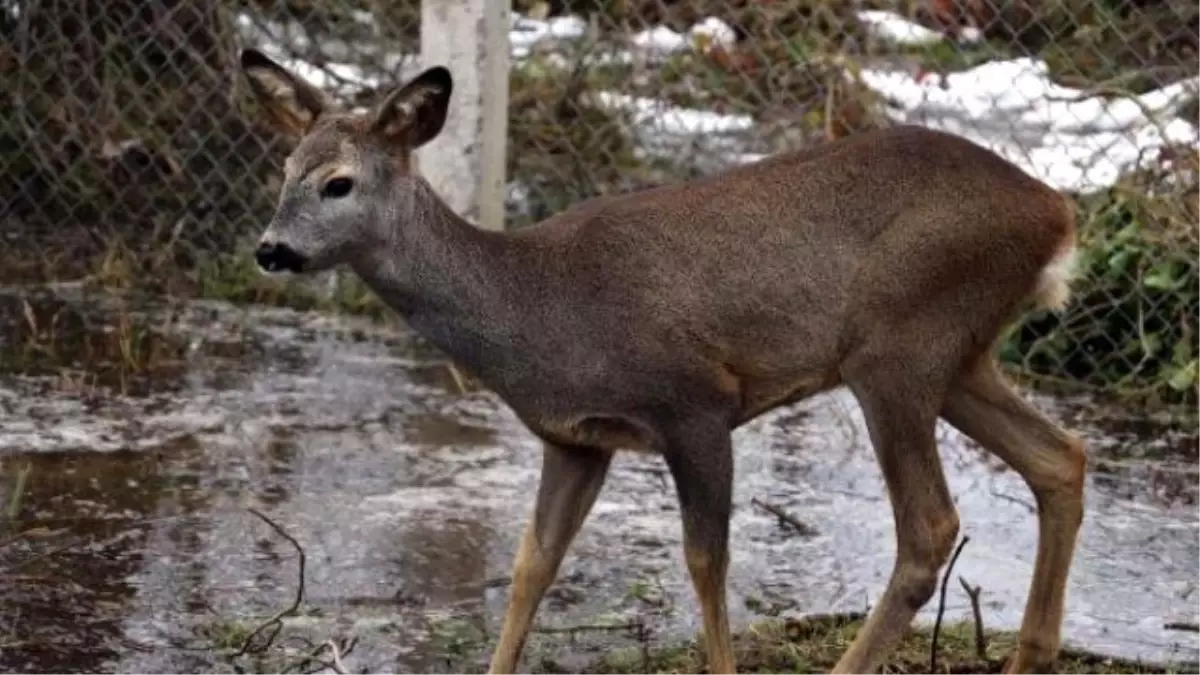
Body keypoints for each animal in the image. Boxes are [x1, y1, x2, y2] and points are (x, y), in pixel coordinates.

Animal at [236, 48, 1089, 672]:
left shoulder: (696, 403)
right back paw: (1031, 656)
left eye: (338, 182)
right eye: (283, 172)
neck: (534, 307)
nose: (270, 248)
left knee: (929, 526)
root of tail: (1057, 211)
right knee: (1060, 457)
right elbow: (531, 565)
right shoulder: (575, 439)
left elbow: (706, 562)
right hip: (958, 354)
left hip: (899, 340)